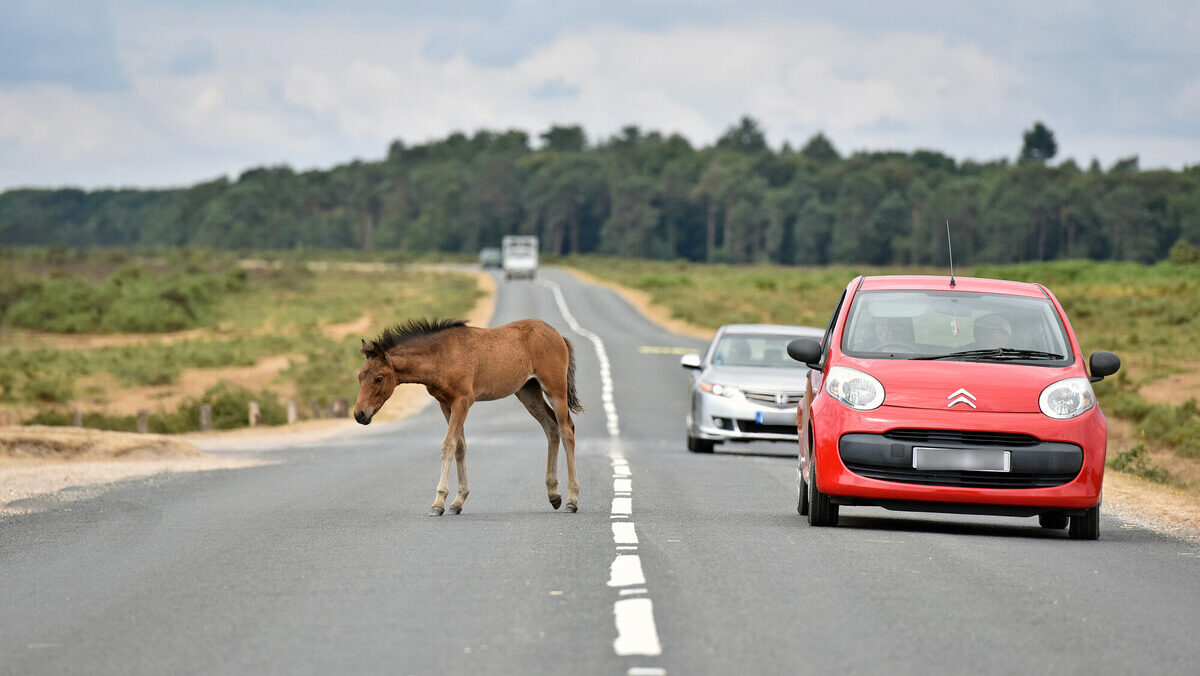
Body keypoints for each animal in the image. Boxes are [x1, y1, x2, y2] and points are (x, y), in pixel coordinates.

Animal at [354, 317, 584, 516]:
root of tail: (557, 334)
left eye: (378, 378)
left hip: (555, 389)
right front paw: (457, 502)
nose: (359, 414)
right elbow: (460, 446)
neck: (442, 356)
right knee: (551, 428)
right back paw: (554, 495)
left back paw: (572, 500)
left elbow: (448, 445)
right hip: (528, 392)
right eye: (359, 377)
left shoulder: (462, 401)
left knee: (566, 430)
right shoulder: (445, 404)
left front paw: (438, 502)